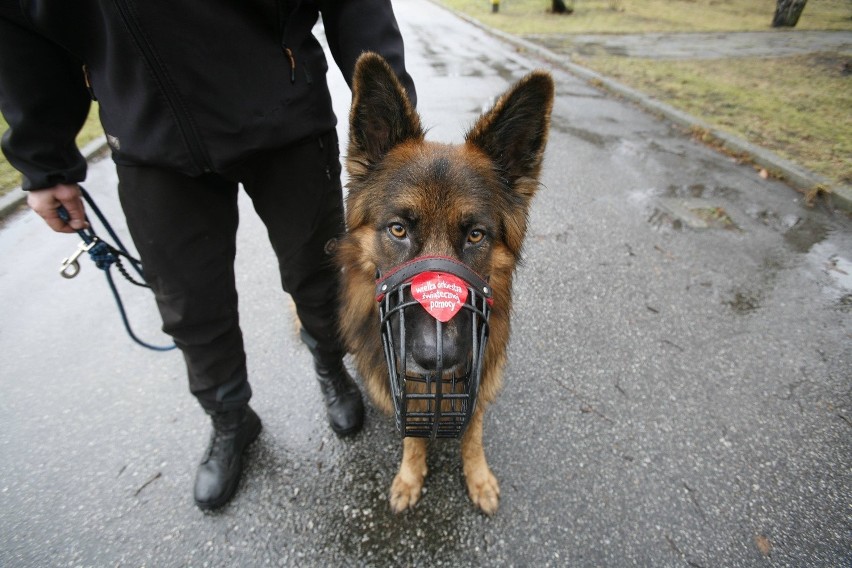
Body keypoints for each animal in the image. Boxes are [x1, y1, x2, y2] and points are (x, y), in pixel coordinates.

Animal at [336, 54, 556, 516]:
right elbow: (412, 435)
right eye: (398, 229)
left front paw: (478, 477)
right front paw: (410, 474)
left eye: (475, 235)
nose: (437, 359)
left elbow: (472, 433)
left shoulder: (478, 379)